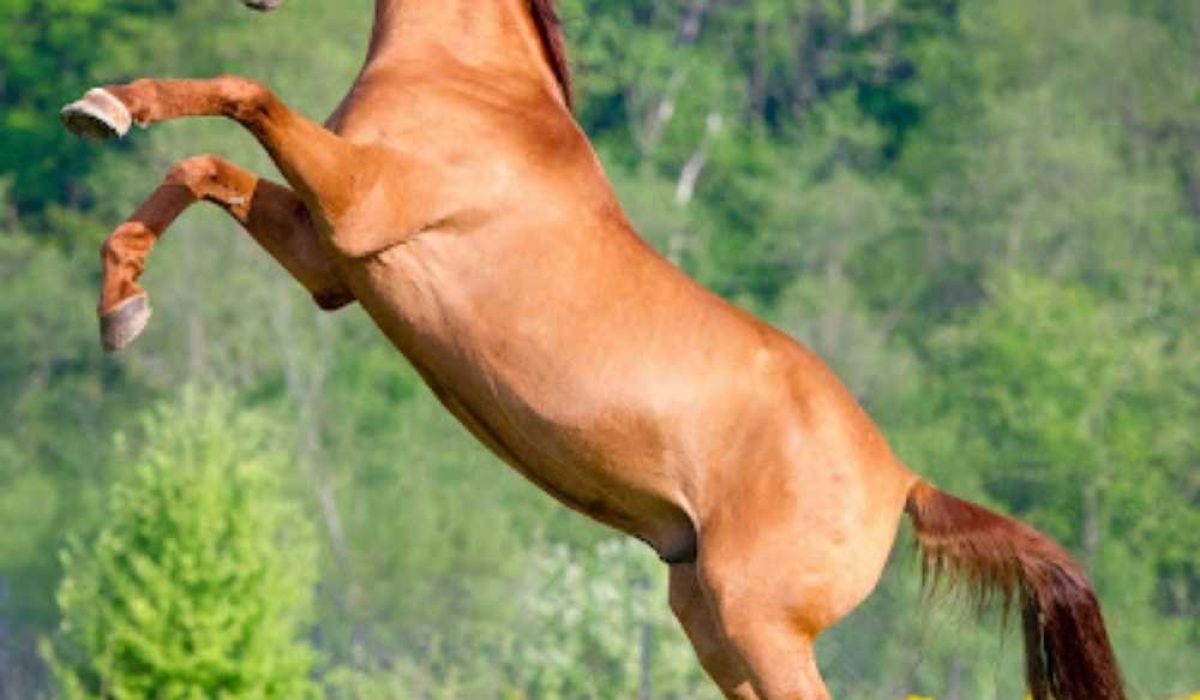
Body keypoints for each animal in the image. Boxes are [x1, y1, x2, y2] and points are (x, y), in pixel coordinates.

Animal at [60, 2, 1126, 698]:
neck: (475, 86)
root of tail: (902, 478)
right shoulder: (333, 262)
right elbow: (200, 167)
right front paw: (121, 301)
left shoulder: (356, 207)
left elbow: (241, 94)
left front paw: (107, 104)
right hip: (710, 624)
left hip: (759, 625)